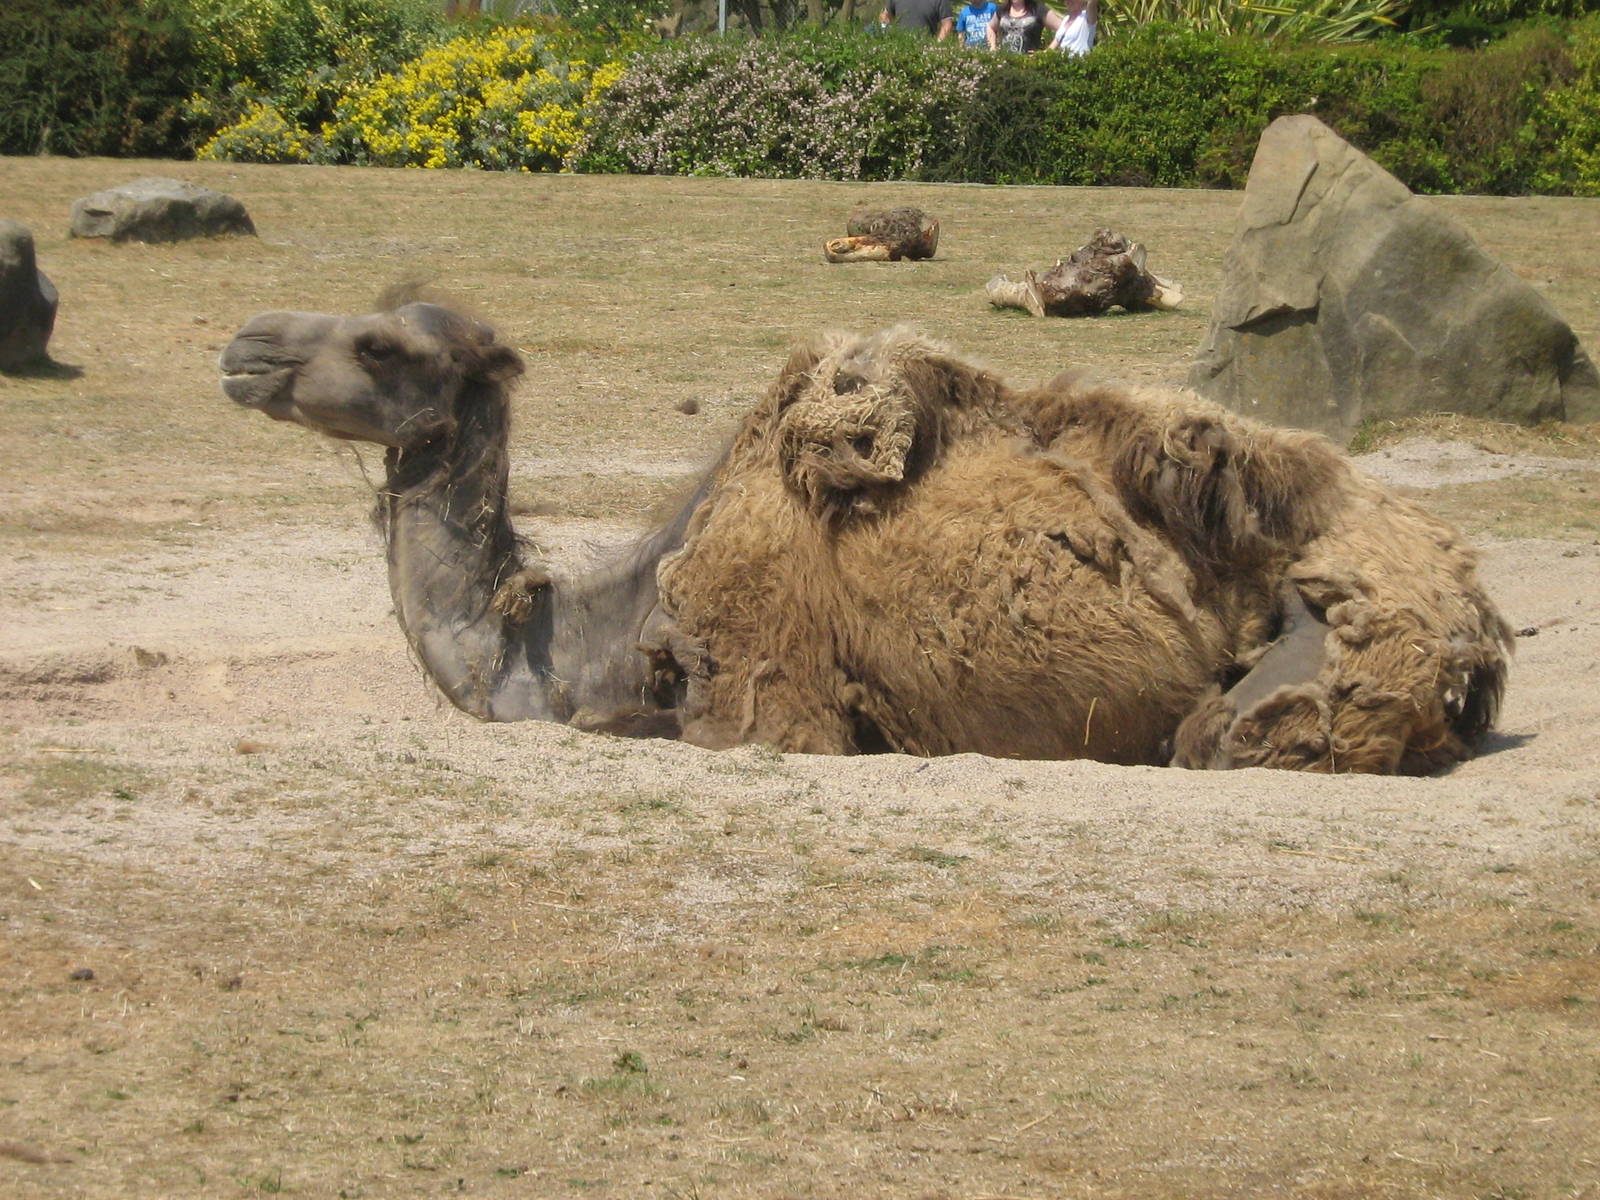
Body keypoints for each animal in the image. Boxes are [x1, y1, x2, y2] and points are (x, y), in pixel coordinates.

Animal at [222, 303, 1511, 774]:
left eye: (382, 344)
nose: (245, 346)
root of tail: (1475, 608)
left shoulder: (762, 697)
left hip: (1329, 637)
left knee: (1228, 729)